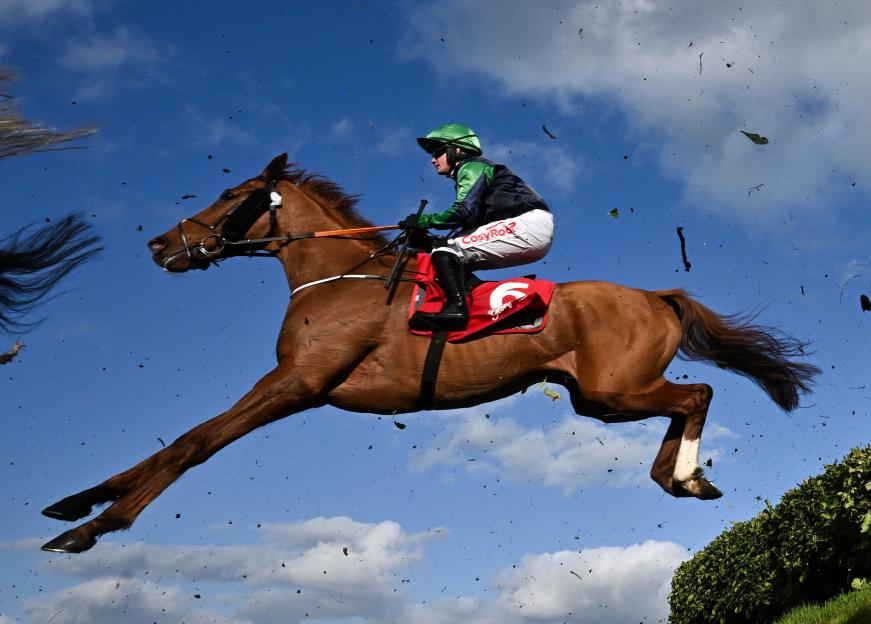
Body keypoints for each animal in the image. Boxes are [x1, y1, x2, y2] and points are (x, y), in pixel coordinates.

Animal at [40, 153, 819, 553]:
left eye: (233, 195)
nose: (159, 244)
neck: (338, 278)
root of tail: (657, 293)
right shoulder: (295, 385)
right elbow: (179, 441)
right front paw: (77, 500)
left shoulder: (297, 382)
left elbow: (195, 443)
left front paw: (97, 525)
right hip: (599, 399)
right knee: (686, 401)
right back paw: (679, 476)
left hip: (613, 389)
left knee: (697, 394)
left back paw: (685, 475)